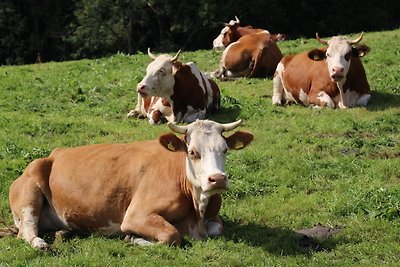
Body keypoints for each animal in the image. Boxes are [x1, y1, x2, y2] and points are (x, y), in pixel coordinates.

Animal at [8, 120, 253, 250]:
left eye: (225, 149)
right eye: (193, 152)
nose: (217, 179)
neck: (197, 212)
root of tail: (54, 154)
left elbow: (217, 228)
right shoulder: (136, 215)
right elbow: (171, 235)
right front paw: (134, 238)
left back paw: (62, 233)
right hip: (29, 189)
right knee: (27, 228)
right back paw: (40, 243)